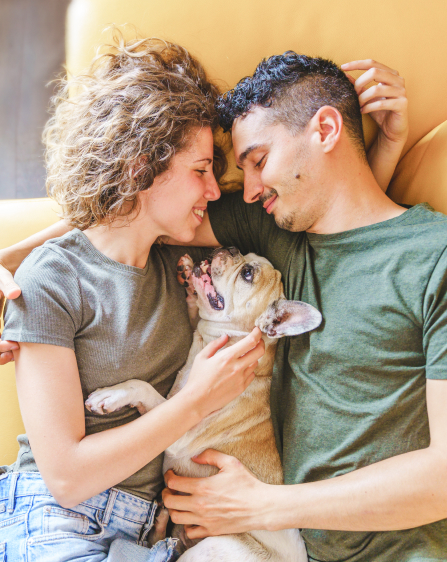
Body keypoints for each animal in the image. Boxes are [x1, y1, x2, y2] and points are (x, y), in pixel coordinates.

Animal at [85, 247, 322, 556]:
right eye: (245, 253)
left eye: (248, 274)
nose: (230, 248)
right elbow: (194, 314)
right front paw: (187, 277)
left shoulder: (179, 427)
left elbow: (144, 388)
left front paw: (112, 395)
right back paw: (161, 521)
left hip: (215, 545)